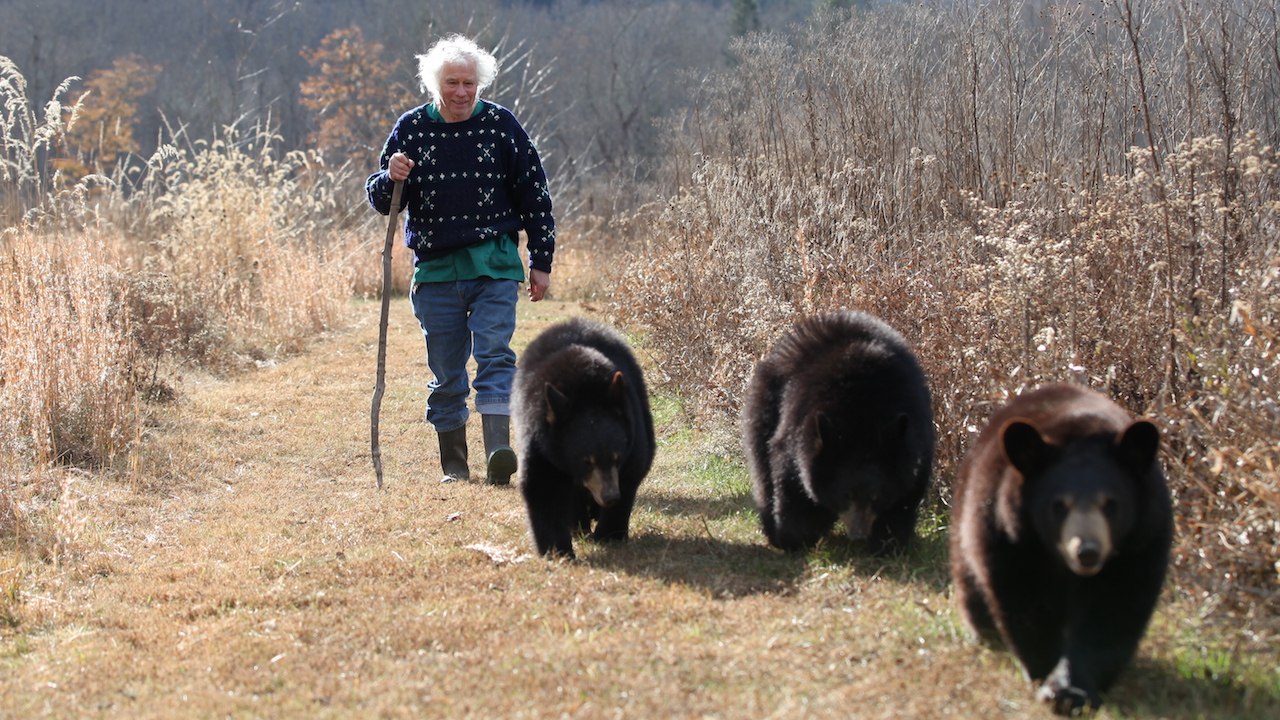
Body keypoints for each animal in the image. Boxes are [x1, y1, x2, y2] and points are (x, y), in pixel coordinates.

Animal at [512, 317, 655, 559]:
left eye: (617, 457)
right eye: (586, 460)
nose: (610, 496)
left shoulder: (632, 435)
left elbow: (630, 475)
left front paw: (610, 534)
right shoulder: (541, 443)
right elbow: (543, 487)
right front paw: (557, 550)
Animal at [742, 310, 935, 555]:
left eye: (876, 496)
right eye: (846, 495)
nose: (858, 535)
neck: (863, 413)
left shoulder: (915, 441)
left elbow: (905, 496)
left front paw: (888, 542)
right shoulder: (798, 430)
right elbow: (790, 482)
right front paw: (793, 536)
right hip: (766, 402)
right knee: (762, 466)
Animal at [949, 382, 1173, 715]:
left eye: (1111, 504)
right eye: (1058, 506)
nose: (1088, 552)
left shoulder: (1141, 540)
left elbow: (1112, 608)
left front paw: (1071, 689)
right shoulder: (1011, 535)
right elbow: (1026, 602)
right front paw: (1044, 675)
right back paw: (983, 630)